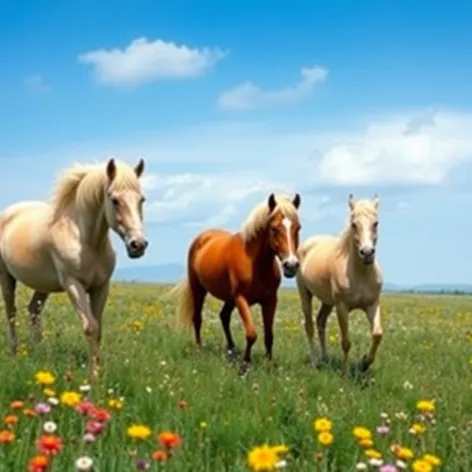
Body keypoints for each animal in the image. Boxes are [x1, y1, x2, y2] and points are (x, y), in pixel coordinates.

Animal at [0, 159, 148, 380]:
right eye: (114, 200)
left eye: (142, 200)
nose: (138, 245)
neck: (84, 240)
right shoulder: (73, 285)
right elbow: (91, 328)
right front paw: (93, 377)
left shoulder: (101, 288)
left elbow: (99, 329)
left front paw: (97, 370)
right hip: (6, 277)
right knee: (11, 312)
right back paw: (14, 352)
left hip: (43, 285)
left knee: (34, 309)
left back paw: (39, 350)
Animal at [171, 194, 300, 370]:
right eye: (274, 229)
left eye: (298, 228)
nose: (291, 265)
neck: (255, 263)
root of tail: (202, 237)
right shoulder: (241, 298)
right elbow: (251, 334)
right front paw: (245, 364)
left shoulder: (270, 300)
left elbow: (269, 335)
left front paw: (268, 363)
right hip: (199, 290)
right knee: (197, 318)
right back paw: (199, 349)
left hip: (229, 298)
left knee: (224, 316)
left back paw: (231, 350)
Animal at [296, 194, 382, 378]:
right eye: (354, 224)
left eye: (376, 223)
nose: (367, 253)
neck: (361, 274)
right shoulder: (342, 307)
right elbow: (346, 342)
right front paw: (345, 373)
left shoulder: (372, 305)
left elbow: (377, 334)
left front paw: (364, 363)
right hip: (305, 294)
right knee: (309, 326)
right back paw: (315, 362)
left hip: (328, 302)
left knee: (320, 321)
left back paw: (325, 358)